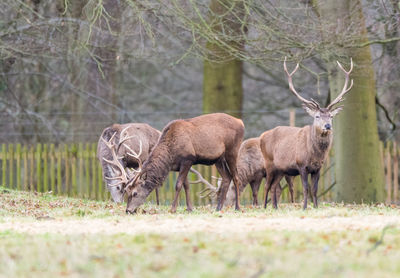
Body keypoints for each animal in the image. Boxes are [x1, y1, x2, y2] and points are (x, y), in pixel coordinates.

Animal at [260, 57, 354, 210]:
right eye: (317, 116)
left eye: (331, 116)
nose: (327, 126)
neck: (315, 154)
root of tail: (262, 137)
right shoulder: (301, 165)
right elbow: (305, 188)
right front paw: (304, 207)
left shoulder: (318, 168)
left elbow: (314, 189)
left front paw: (316, 207)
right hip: (269, 163)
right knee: (267, 185)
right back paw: (263, 207)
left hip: (281, 169)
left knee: (274, 186)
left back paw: (275, 207)